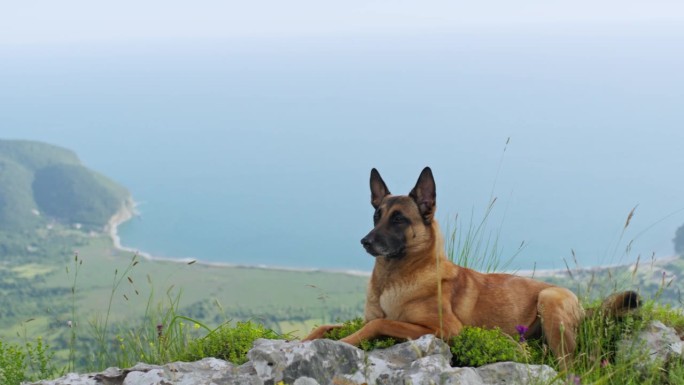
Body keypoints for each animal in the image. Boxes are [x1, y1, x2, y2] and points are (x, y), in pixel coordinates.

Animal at [304, 166, 640, 368]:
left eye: (399, 219)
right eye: (377, 216)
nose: (365, 241)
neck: (395, 278)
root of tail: (584, 307)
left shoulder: (445, 329)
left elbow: (379, 324)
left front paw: (345, 342)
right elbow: (326, 326)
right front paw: (307, 339)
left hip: (550, 300)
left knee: (573, 364)